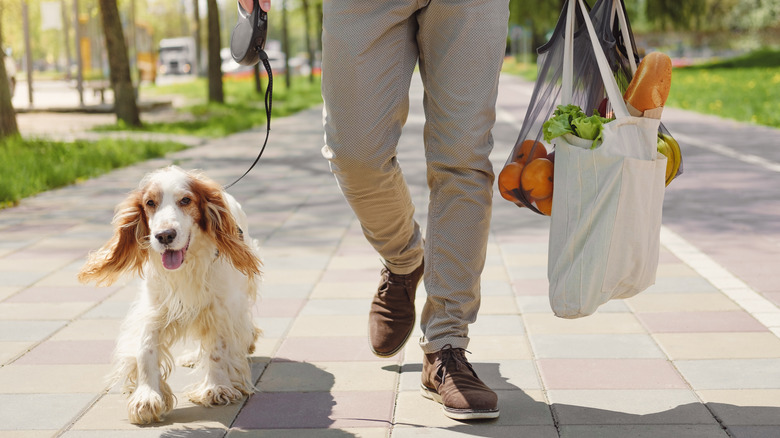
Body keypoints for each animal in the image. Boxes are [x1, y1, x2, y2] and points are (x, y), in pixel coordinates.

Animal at [78, 165, 262, 424]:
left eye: (185, 200)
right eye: (150, 203)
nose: (165, 235)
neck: (186, 267)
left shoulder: (220, 309)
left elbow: (218, 349)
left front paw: (215, 387)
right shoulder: (154, 310)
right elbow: (145, 349)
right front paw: (146, 397)